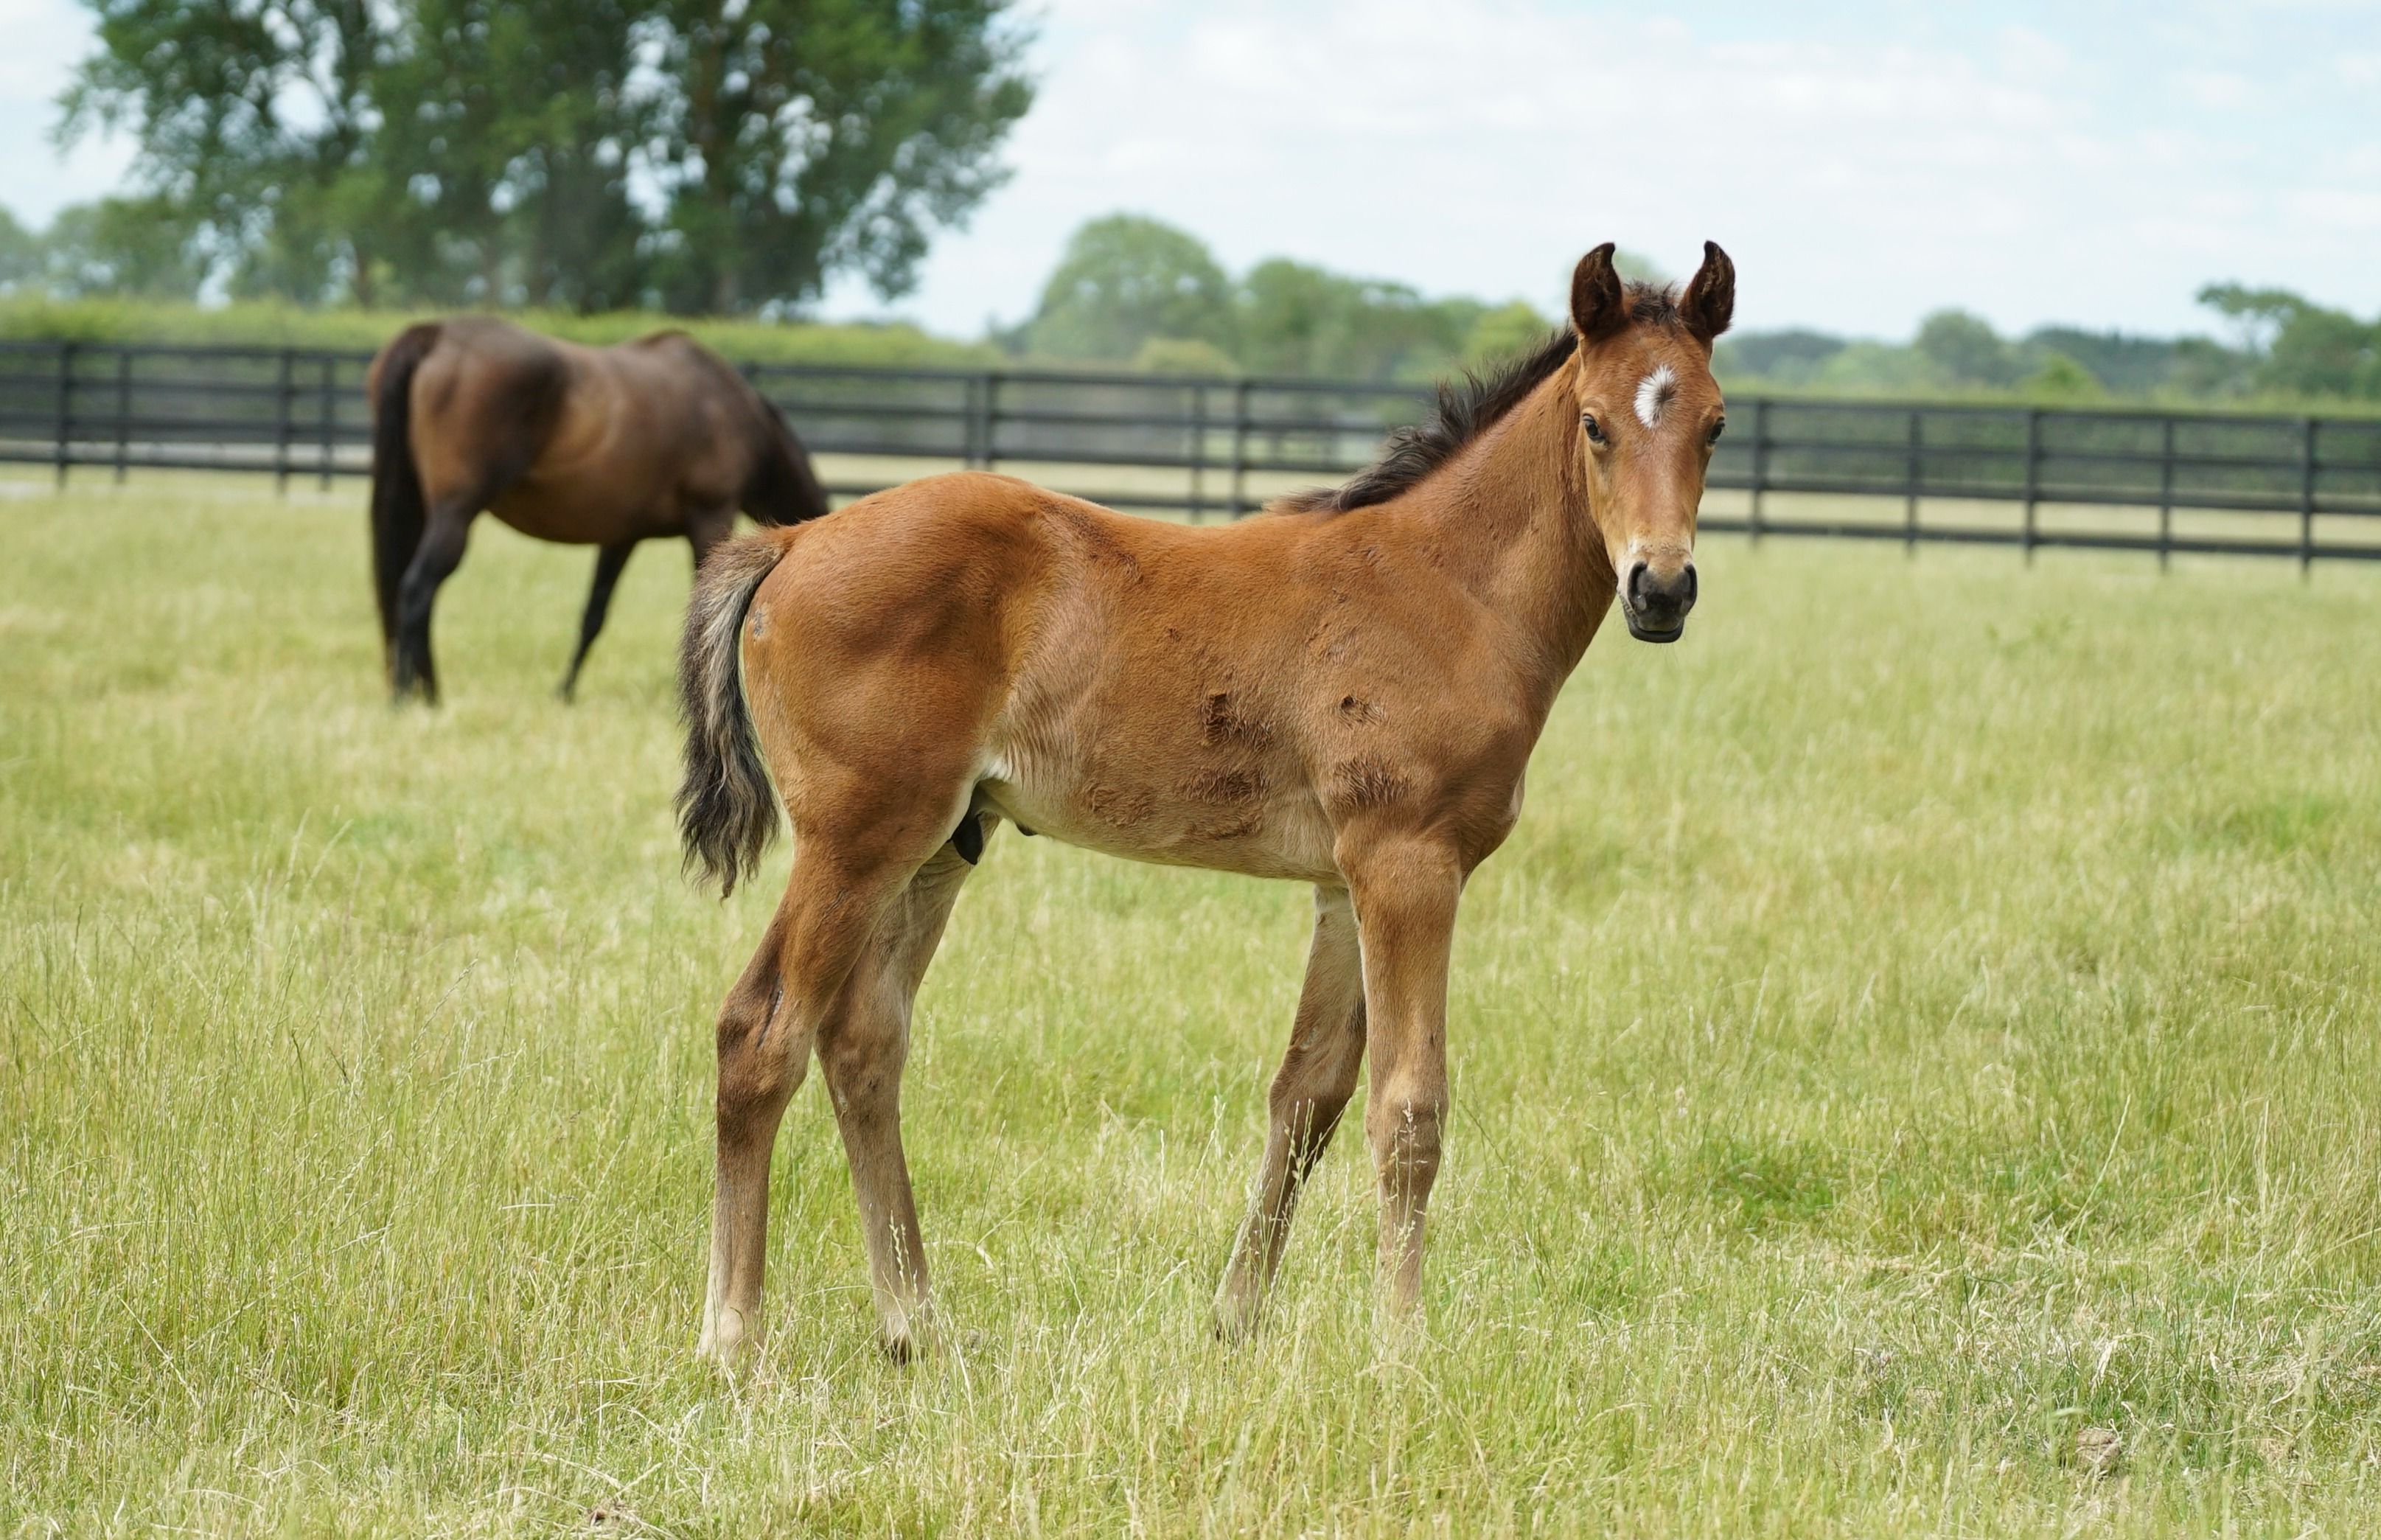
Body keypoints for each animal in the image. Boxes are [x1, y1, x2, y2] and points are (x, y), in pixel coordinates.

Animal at [365, 317, 831, 704]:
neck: (729, 407)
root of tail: (437, 333)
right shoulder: (710, 516)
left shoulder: (621, 537)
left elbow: (594, 614)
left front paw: (564, 692)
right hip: (455, 514)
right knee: (417, 589)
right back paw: (408, 696)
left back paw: (427, 693)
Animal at [674, 241, 1734, 1361]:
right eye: (1595, 424)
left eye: (1714, 424)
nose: (1660, 589)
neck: (1448, 590)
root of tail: (790, 541)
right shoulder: (1408, 863)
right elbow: (1408, 1110)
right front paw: (1399, 1344)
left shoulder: (1341, 882)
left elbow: (1308, 1094)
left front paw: (1236, 1317)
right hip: (857, 837)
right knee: (761, 1033)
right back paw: (731, 1338)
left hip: (939, 845)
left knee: (864, 1043)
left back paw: (916, 1323)